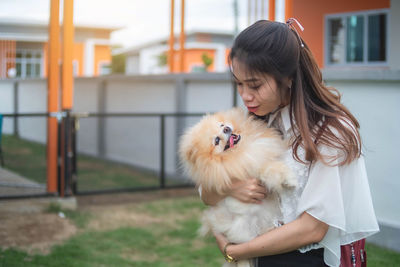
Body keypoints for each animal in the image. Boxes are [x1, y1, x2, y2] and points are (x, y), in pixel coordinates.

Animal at [178, 108, 296, 266]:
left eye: (222, 125)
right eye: (216, 141)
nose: (227, 129)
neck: (241, 150)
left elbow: (271, 165)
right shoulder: (249, 169)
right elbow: (269, 169)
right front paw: (290, 180)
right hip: (242, 230)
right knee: (244, 251)